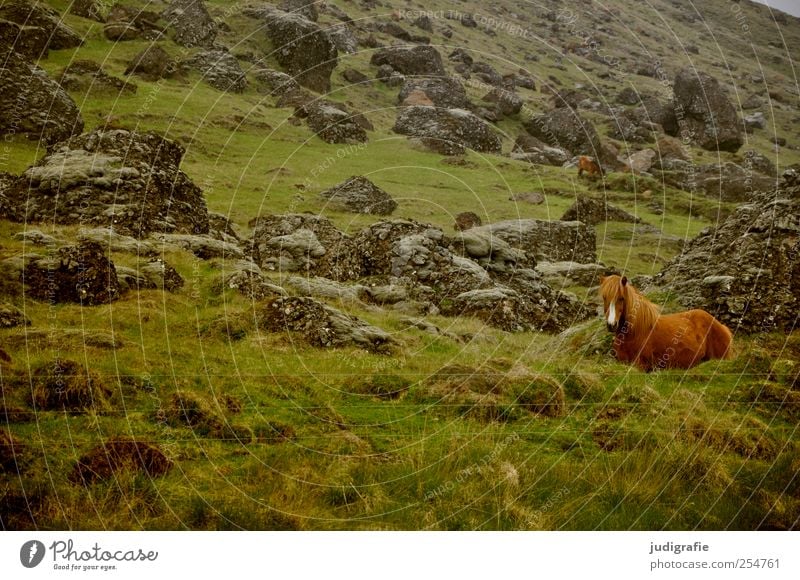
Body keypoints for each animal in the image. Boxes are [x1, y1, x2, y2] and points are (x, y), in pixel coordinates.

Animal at [600, 274, 732, 370]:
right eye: (604, 297)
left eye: (621, 298)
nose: (611, 325)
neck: (633, 332)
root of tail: (722, 327)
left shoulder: (640, 365)